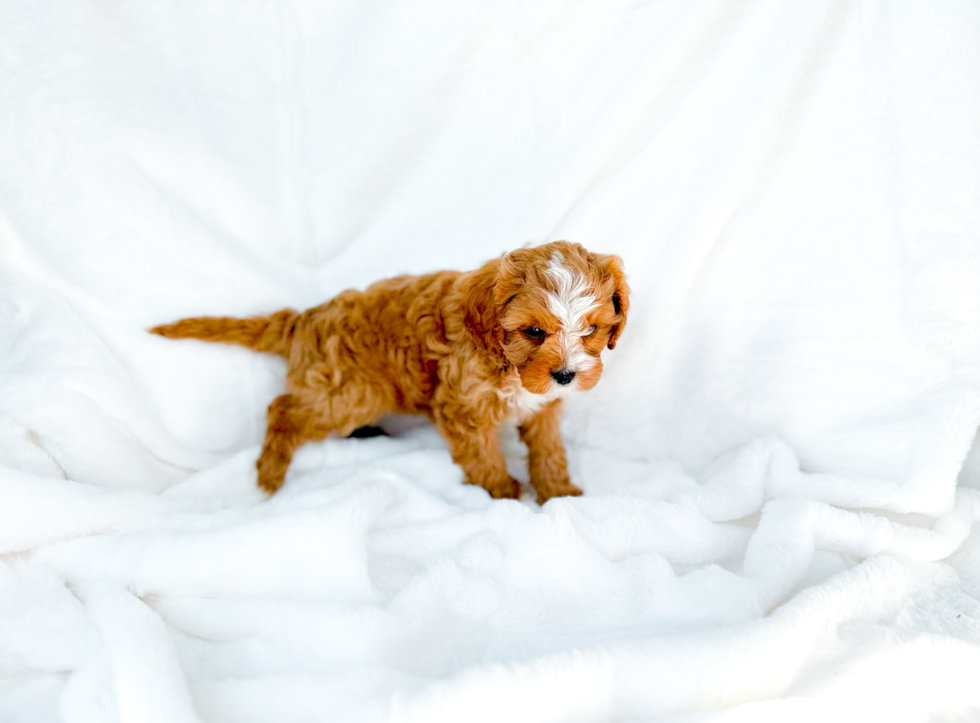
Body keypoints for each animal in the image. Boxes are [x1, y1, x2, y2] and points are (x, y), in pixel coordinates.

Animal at [151, 243, 628, 504]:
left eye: (591, 330)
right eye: (533, 332)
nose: (565, 375)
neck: (504, 360)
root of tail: (305, 318)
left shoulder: (541, 406)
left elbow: (548, 448)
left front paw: (557, 491)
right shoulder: (460, 407)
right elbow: (482, 454)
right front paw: (503, 491)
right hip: (348, 392)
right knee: (282, 409)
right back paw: (269, 473)